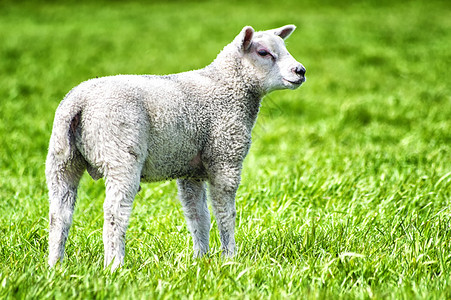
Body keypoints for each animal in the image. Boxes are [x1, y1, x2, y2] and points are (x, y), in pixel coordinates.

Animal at [46, 24, 308, 270]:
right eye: (263, 52)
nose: (300, 71)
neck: (226, 88)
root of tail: (79, 102)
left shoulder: (191, 172)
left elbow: (198, 216)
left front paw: (201, 258)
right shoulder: (225, 156)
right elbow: (225, 213)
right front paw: (230, 257)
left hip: (62, 159)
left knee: (59, 215)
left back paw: (55, 265)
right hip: (121, 154)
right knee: (114, 213)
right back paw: (114, 265)